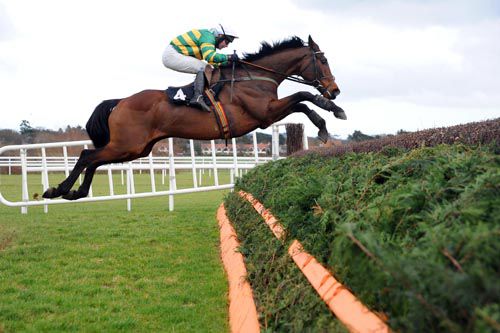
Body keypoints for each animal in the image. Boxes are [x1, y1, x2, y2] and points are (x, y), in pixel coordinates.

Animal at [44, 34, 344, 200]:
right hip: (127, 144)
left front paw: (328, 119)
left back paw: (75, 192)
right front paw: (328, 116)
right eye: (324, 60)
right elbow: (302, 97)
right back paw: (57, 190)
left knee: (94, 160)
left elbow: (302, 102)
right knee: (87, 156)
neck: (255, 76)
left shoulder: (268, 113)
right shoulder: (264, 114)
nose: (335, 90)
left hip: (135, 149)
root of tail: (120, 102)